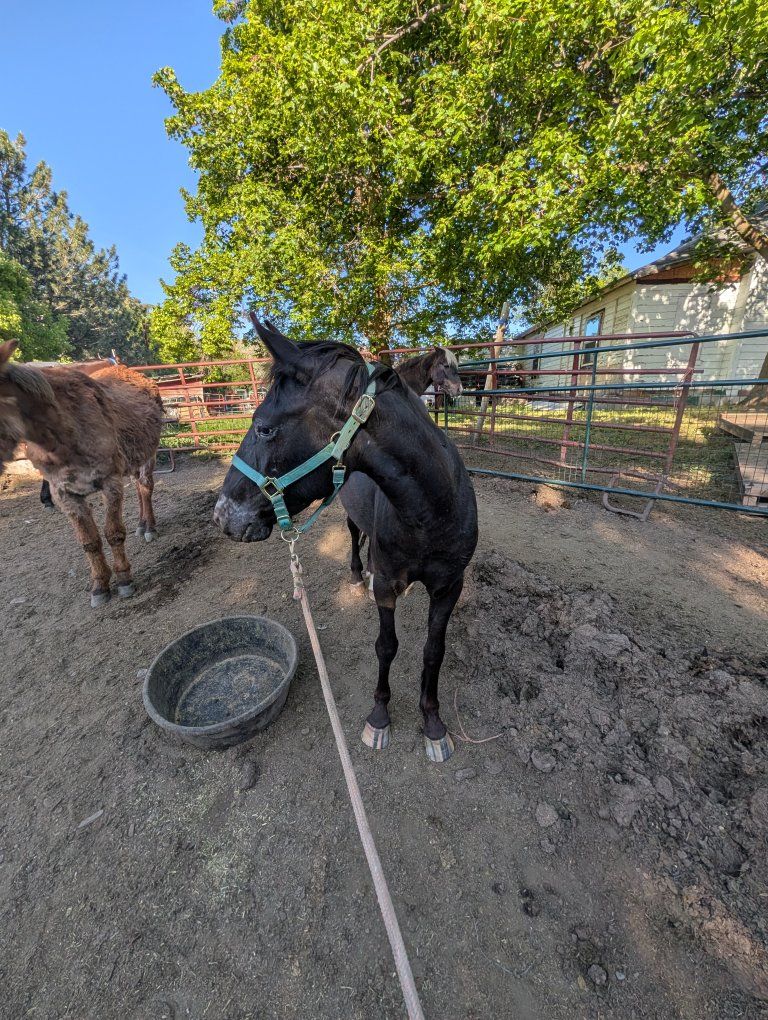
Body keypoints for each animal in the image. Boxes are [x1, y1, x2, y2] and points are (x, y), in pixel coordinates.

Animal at [0, 340, 163, 606]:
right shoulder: (64, 494)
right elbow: (89, 542)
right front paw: (99, 586)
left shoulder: (110, 483)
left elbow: (113, 533)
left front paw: (124, 580)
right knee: (140, 490)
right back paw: (141, 525)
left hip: (149, 453)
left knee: (145, 487)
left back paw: (149, 527)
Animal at [213, 317, 478, 762]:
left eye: (264, 428)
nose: (222, 515)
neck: (432, 511)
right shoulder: (388, 586)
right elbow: (386, 646)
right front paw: (379, 719)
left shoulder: (449, 587)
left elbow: (433, 651)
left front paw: (433, 723)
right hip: (350, 516)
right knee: (357, 538)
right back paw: (358, 574)